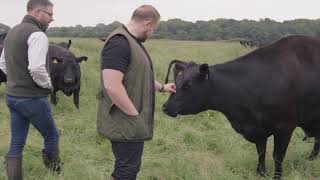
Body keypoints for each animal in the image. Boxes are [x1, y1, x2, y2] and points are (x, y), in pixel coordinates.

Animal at [162, 34, 320, 179]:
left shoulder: (285, 126)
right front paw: (261, 173)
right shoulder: (258, 129)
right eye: (176, 82)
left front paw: (276, 176)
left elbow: (278, 156)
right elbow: (261, 152)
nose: (165, 107)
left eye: (187, 85)